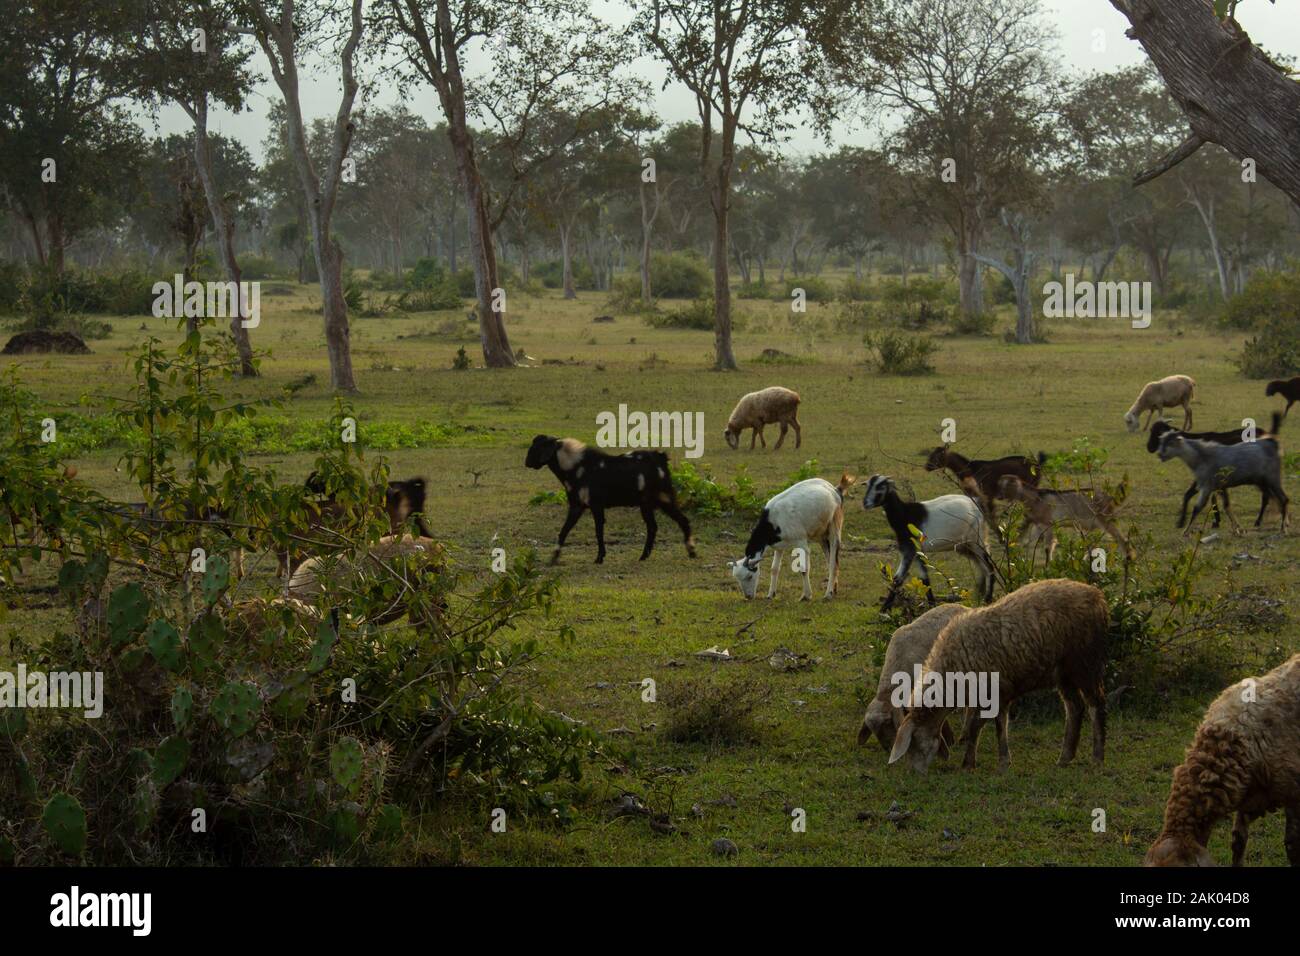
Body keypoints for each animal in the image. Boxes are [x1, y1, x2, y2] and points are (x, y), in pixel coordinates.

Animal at [525, 435, 695, 564]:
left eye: (538, 447)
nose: (526, 462)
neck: (576, 467)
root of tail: (661, 459)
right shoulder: (577, 506)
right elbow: (564, 530)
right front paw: (553, 558)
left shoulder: (595, 505)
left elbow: (598, 531)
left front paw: (599, 558)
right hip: (648, 503)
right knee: (657, 526)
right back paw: (646, 556)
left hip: (663, 498)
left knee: (679, 521)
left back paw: (690, 551)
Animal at [860, 475, 994, 611]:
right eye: (867, 485)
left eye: (881, 487)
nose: (865, 503)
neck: (905, 514)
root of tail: (976, 503)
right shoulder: (918, 551)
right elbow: (925, 579)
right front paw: (932, 605)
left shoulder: (909, 550)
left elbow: (898, 579)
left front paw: (883, 611)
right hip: (965, 546)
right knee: (981, 569)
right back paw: (978, 598)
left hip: (976, 540)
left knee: (989, 567)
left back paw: (987, 600)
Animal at [888, 579, 1109, 774]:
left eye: (913, 742)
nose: (914, 772)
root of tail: (1097, 596)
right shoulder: (996, 693)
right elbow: (995, 726)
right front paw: (999, 762)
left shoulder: (994, 691)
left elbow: (977, 727)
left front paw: (971, 764)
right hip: (1063, 673)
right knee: (1074, 708)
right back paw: (1064, 758)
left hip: (1084, 662)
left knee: (1095, 704)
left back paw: (1097, 759)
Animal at [996, 475, 1133, 561]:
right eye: (1000, 486)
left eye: (1005, 487)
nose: (999, 496)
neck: (1036, 498)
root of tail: (1110, 497)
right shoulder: (1039, 525)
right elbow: (1028, 543)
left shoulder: (1048, 525)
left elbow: (1048, 548)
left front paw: (1048, 566)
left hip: (1105, 519)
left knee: (1121, 538)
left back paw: (1128, 558)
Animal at [1156, 412, 1287, 535]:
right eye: (1161, 440)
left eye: (1171, 443)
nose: (1160, 454)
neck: (1201, 456)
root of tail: (1272, 442)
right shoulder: (1220, 486)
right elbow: (1227, 506)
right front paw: (1238, 529)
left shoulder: (1207, 486)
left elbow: (1197, 508)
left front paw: (1185, 532)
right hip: (1263, 481)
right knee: (1275, 498)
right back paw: (1282, 522)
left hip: (1272, 478)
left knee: (1283, 499)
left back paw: (1282, 528)